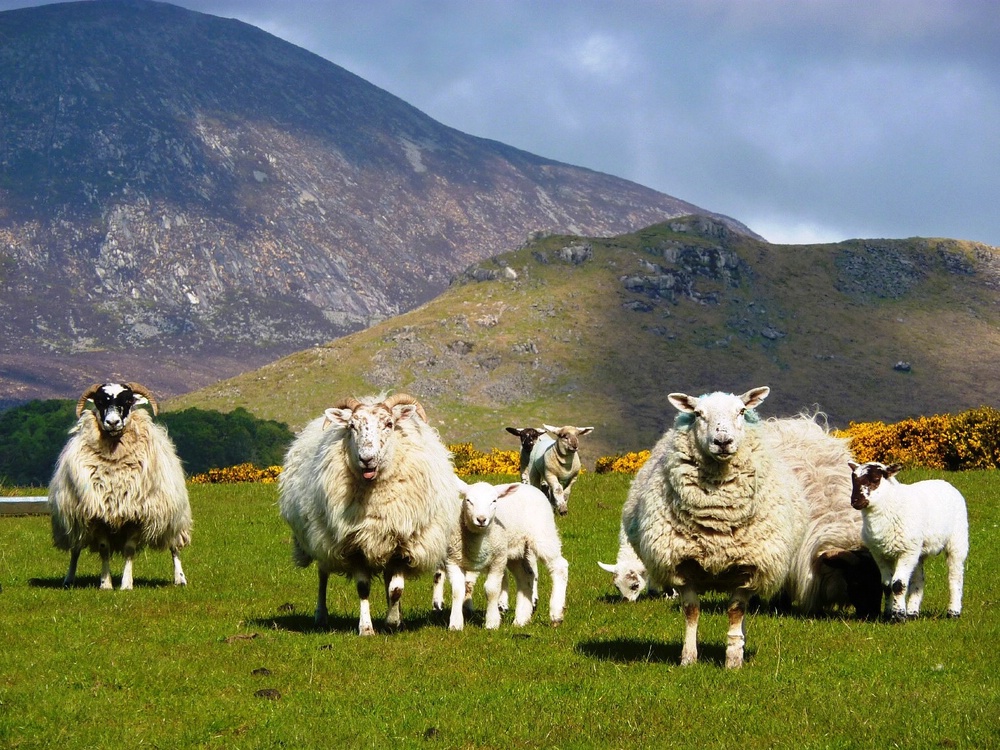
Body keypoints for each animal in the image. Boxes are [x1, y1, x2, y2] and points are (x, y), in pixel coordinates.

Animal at [47, 384, 192, 592]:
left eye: (128, 400)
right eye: (99, 401)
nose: (113, 422)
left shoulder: (137, 515)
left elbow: (129, 550)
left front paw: (126, 583)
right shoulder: (97, 515)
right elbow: (104, 549)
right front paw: (105, 583)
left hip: (174, 519)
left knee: (175, 547)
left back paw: (180, 578)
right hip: (75, 520)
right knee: (75, 549)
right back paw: (69, 579)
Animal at [276, 394, 458, 636]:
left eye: (389, 424)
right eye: (352, 426)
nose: (367, 459)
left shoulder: (401, 543)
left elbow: (396, 589)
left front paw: (393, 622)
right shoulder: (354, 544)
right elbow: (363, 588)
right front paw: (366, 628)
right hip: (322, 538)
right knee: (323, 573)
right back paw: (321, 615)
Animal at [448, 478, 572, 632]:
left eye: (494, 501)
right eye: (468, 500)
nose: (481, 519)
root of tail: (529, 487)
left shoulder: (498, 559)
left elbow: (491, 589)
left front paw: (492, 622)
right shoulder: (453, 560)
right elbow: (457, 591)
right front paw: (455, 624)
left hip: (543, 534)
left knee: (560, 567)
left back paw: (556, 614)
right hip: (516, 551)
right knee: (525, 577)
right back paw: (521, 619)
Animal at [624, 388, 812, 668]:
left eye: (741, 411)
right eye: (698, 413)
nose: (722, 441)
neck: (717, 521)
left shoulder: (749, 568)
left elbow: (736, 612)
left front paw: (733, 660)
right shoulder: (682, 564)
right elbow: (691, 611)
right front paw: (688, 658)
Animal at [852, 464, 968, 624]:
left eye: (875, 479)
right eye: (853, 479)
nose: (855, 501)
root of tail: (945, 482)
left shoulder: (906, 552)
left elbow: (897, 585)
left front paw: (898, 616)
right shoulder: (880, 554)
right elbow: (886, 585)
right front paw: (888, 614)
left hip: (957, 540)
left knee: (955, 577)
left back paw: (953, 612)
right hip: (917, 550)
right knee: (918, 579)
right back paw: (913, 613)